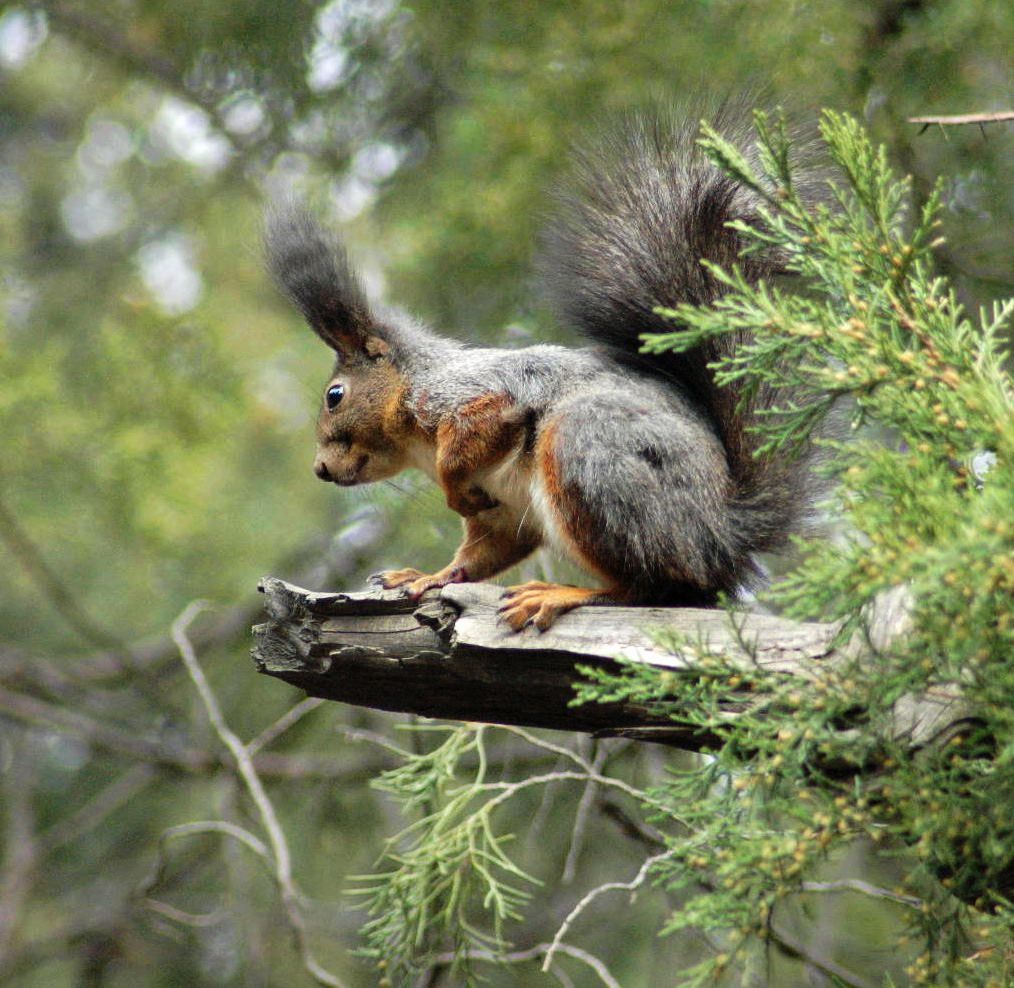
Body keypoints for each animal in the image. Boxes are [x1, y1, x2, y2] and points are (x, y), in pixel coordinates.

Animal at [265, 100, 811, 632]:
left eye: (335, 396)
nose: (319, 469)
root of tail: (724, 535)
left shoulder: (471, 397)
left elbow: (473, 439)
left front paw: (452, 491)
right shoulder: (504, 510)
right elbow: (483, 551)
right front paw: (427, 576)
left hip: (590, 455)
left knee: (653, 586)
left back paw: (563, 593)